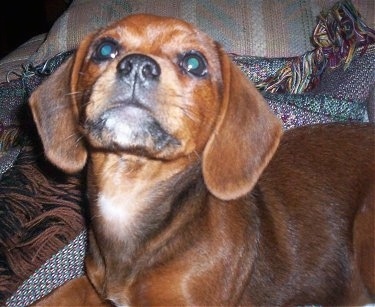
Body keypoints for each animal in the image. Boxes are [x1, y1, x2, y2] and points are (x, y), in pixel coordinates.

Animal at [27, 13, 374, 306]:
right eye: (105, 49)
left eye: (194, 62)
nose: (137, 65)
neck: (129, 194)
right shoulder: (90, 285)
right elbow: (53, 297)